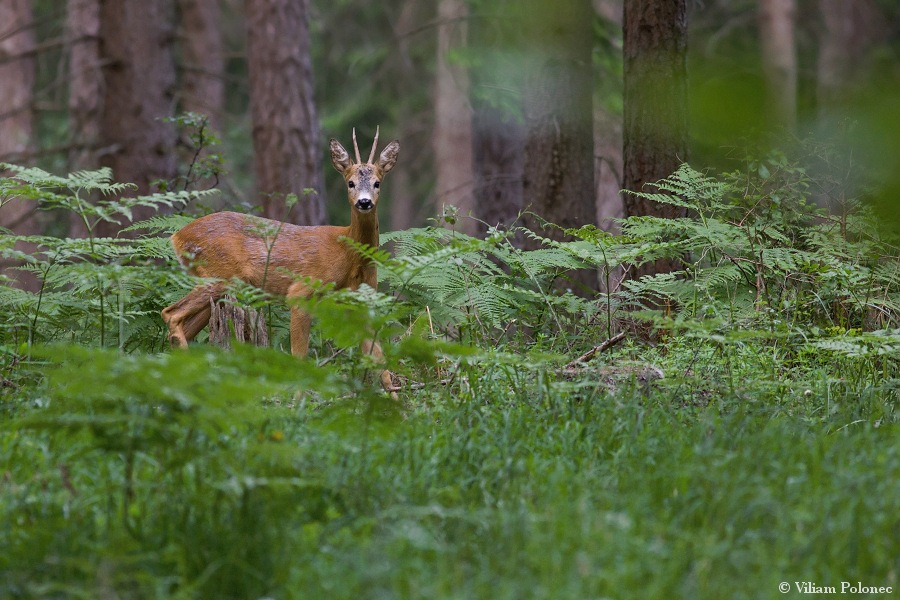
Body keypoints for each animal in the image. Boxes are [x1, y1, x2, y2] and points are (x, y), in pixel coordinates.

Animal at [163, 129, 400, 394]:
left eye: (377, 183)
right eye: (350, 183)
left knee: (183, 327)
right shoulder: (301, 291)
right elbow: (300, 356)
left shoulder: (360, 301)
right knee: (171, 314)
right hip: (219, 276)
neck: (349, 256)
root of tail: (177, 237)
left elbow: (379, 361)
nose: (364, 202)